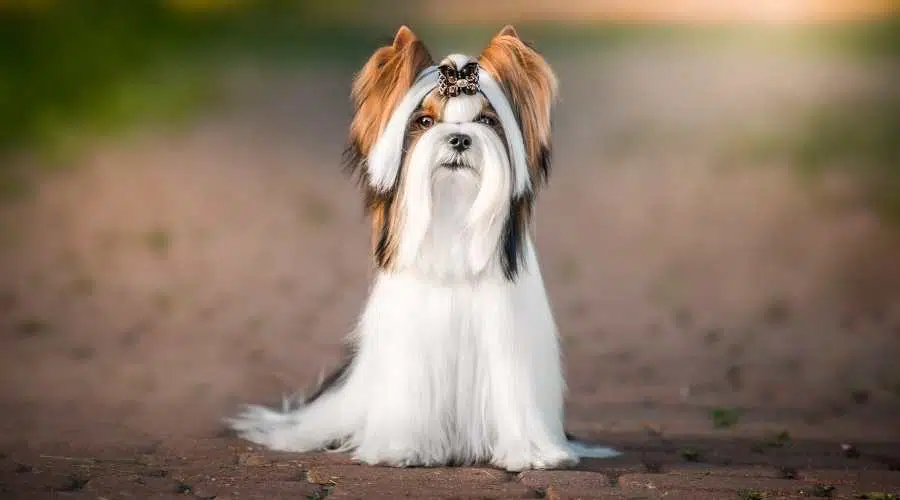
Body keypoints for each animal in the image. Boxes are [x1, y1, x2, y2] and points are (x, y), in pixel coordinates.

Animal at [225, 25, 620, 470]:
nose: (460, 139)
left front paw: (531, 455)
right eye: (425, 121)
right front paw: (402, 451)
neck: (453, 216)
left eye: (487, 120)